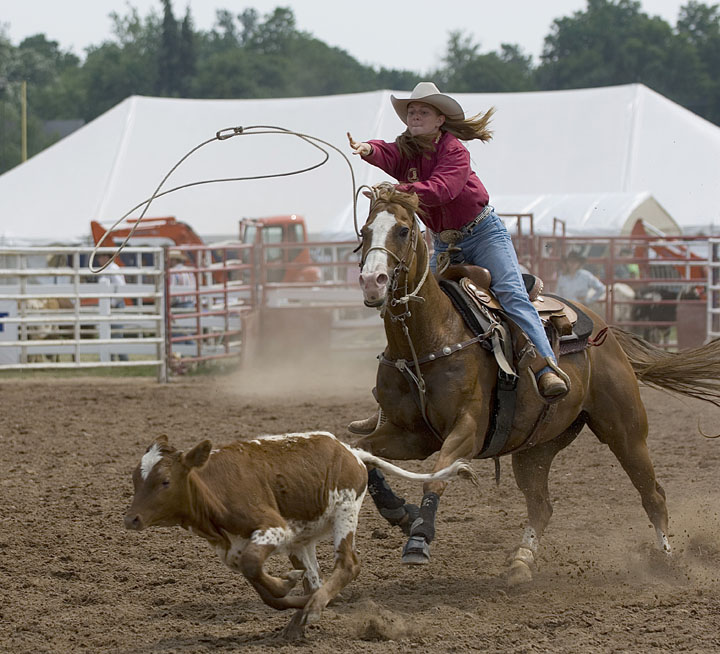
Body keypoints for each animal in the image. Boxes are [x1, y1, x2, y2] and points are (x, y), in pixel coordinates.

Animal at [124, 430, 476, 640]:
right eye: (135, 479)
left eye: (165, 481)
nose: (131, 519)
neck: (213, 487)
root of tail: (351, 451)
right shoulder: (234, 551)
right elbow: (263, 587)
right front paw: (291, 593)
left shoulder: (274, 529)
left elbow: (258, 571)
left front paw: (288, 586)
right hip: (301, 541)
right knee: (317, 580)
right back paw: (302, 617)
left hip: (345, 513)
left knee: (348, 564)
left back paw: (315, 607)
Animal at [354, 187, 720, 588]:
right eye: (365, 230)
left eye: (402, 230)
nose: (373, 281)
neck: (428, 337)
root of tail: (605, 330)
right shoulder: (412, 436)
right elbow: (362, 455)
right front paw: (400, 513)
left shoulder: (467, 430)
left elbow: (437, 476)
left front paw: (419, 538)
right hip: (536, 447)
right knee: (541, 505)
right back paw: (521, 562)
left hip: (626, 431)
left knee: (653, 494)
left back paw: (667, 561)